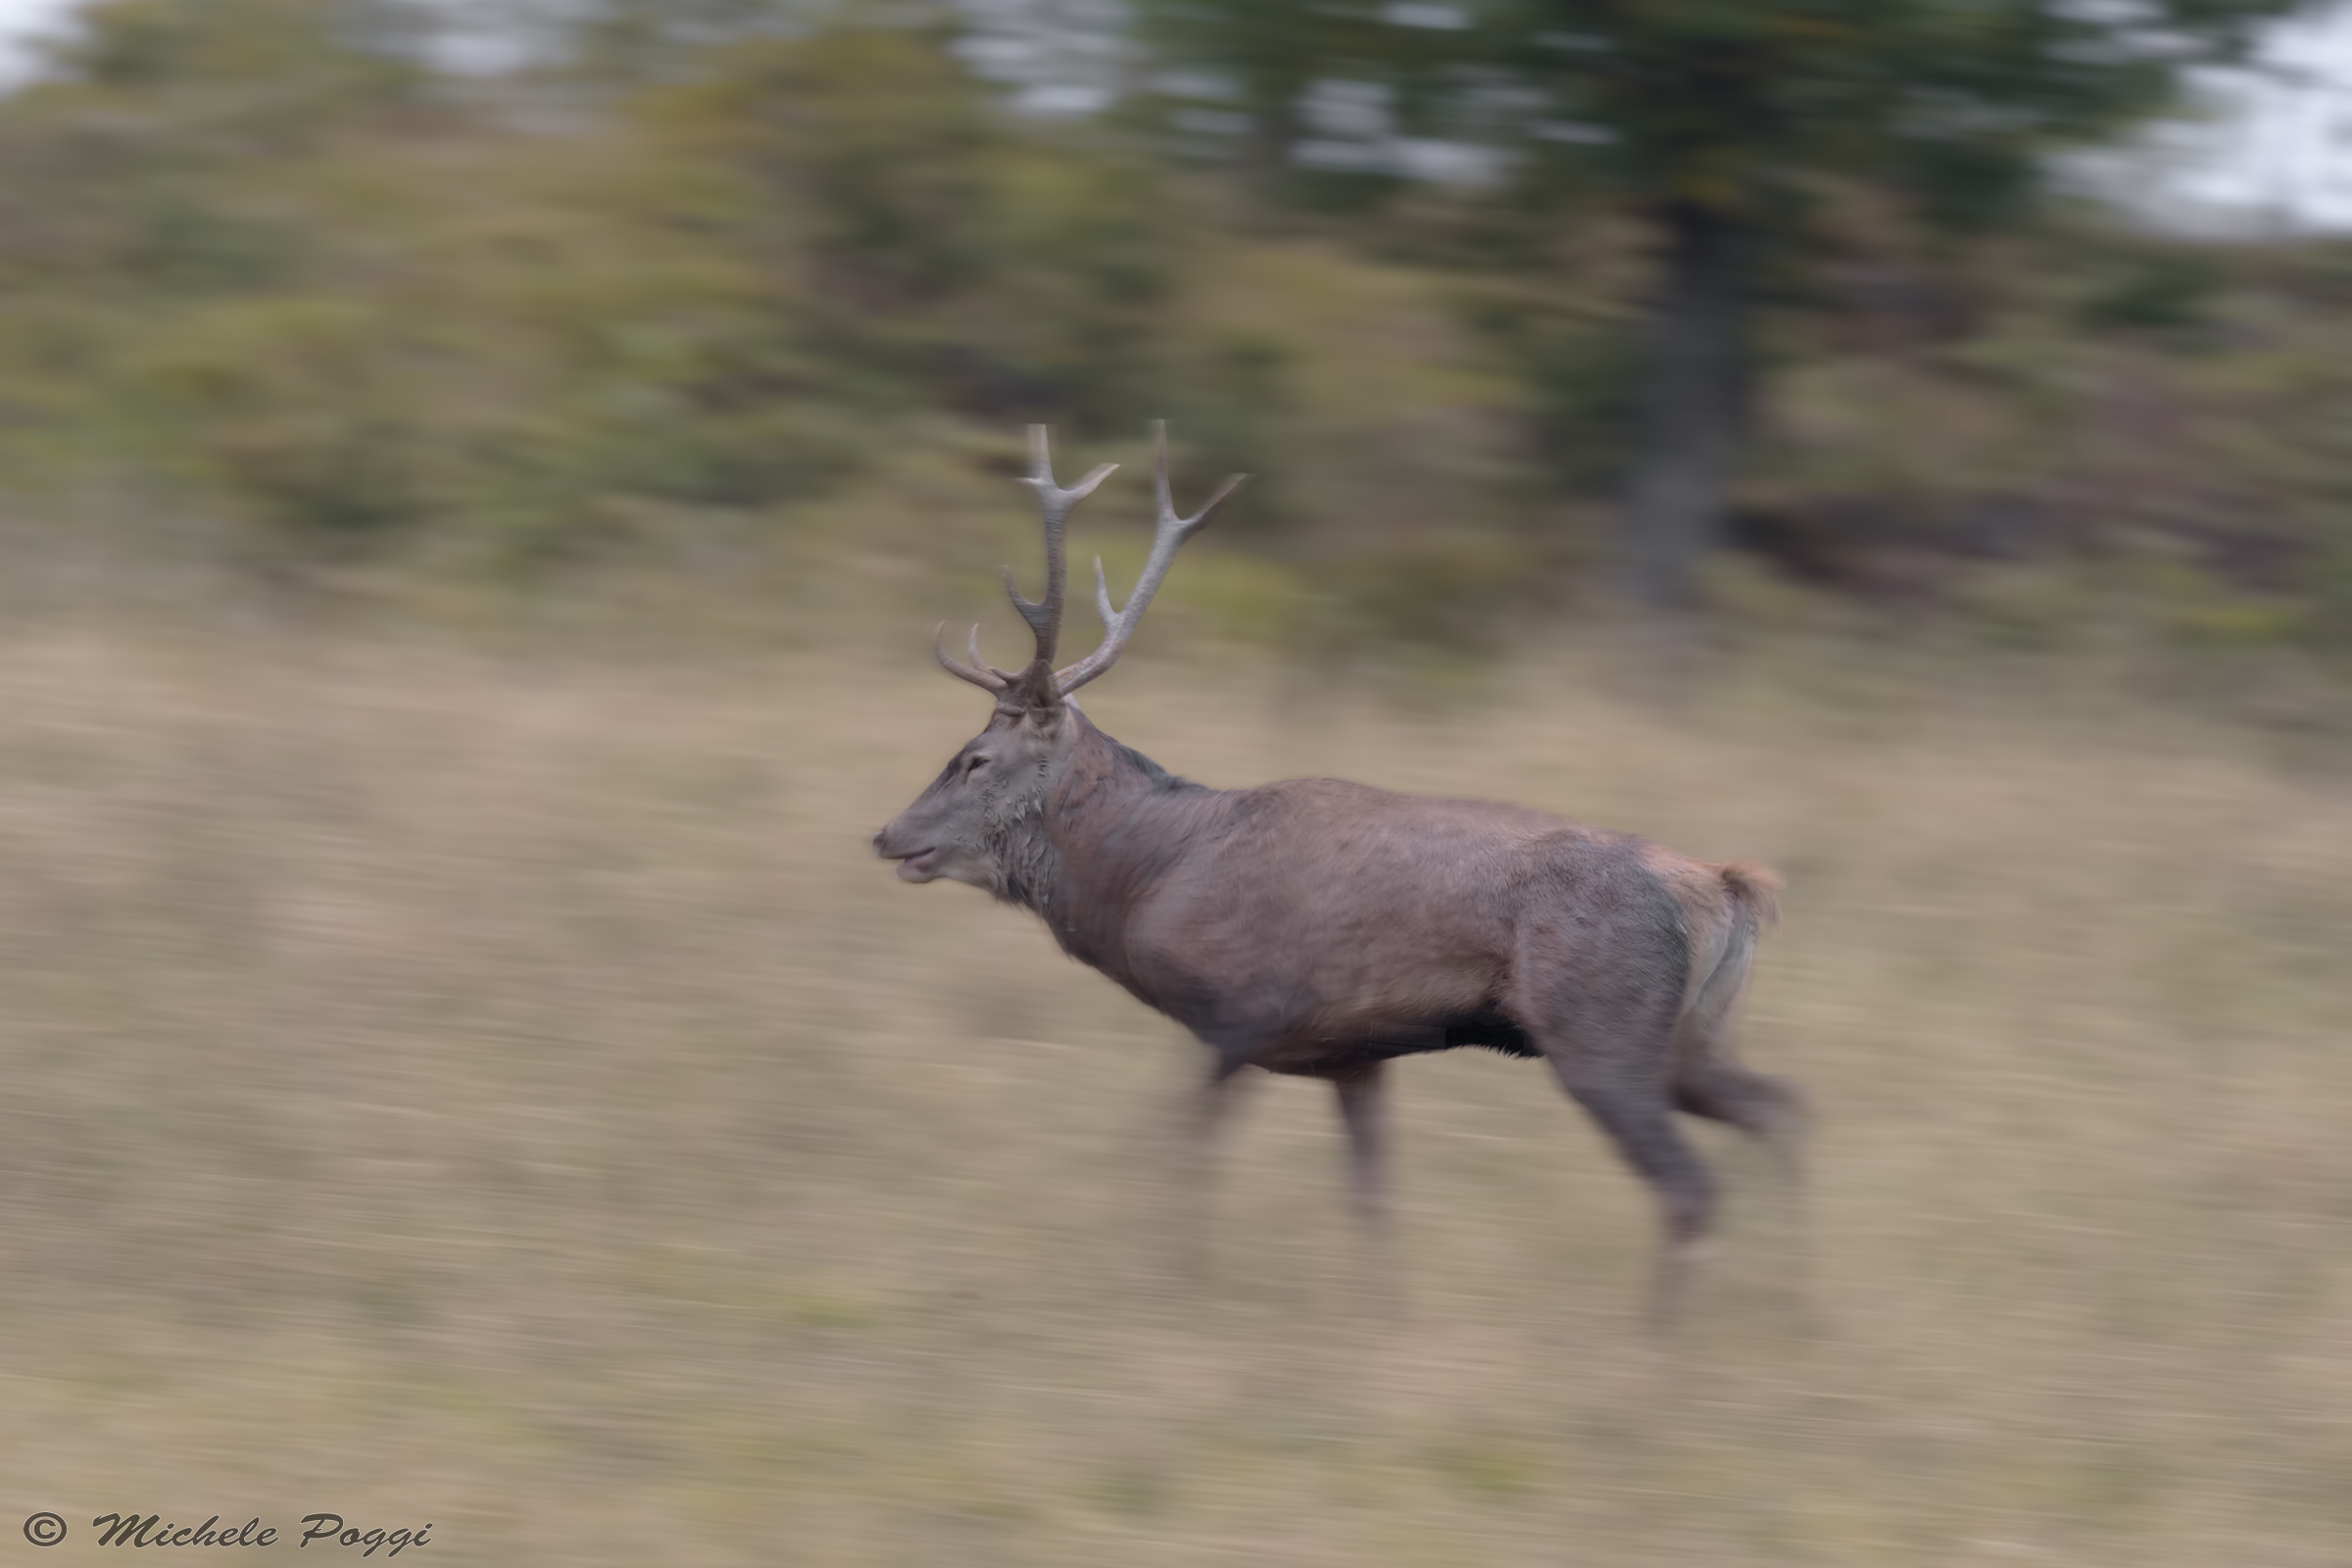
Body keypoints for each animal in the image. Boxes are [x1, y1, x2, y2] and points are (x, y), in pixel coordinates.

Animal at [872, 423, 1804, 1322]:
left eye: (975, 759)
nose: (886, 835)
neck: (1152, 876)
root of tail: (1725, 889)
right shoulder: (1356, 1054)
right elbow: (1371, 1196)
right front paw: (1379, 1310)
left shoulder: (1240, 1011)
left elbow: (1178, 1151)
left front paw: (1167, 1281)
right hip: (1690, 1037)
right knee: (1783, 1107)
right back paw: (1794, 1306)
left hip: (1601, 1027)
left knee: (1692, 1183)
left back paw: (1661, 1344)